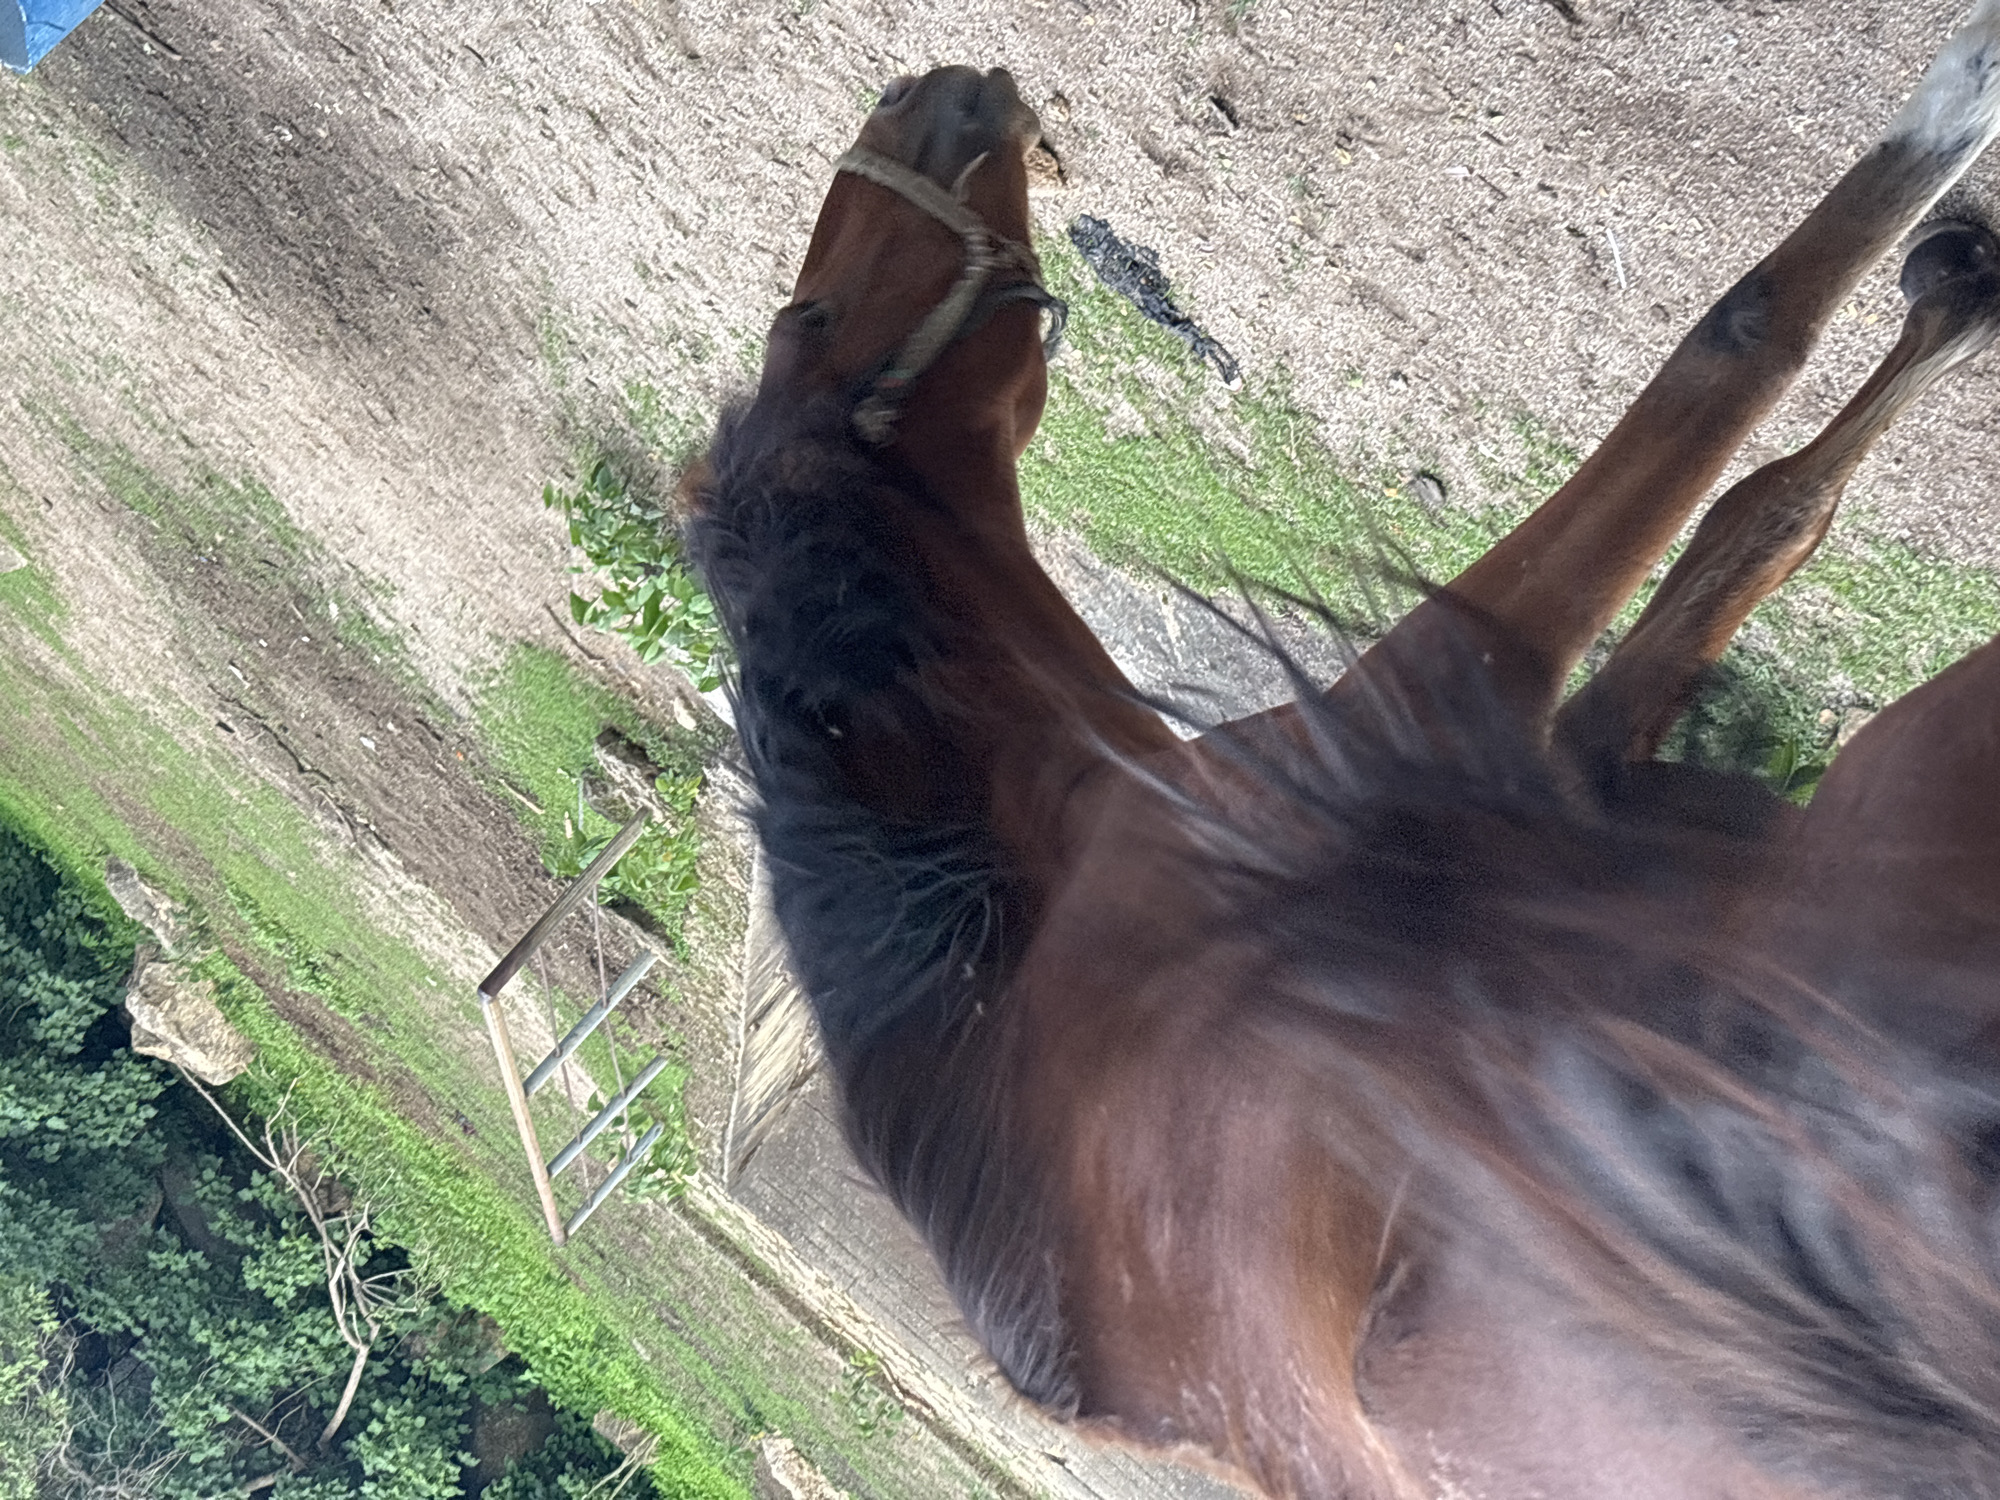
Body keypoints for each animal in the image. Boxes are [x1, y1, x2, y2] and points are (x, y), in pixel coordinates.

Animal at [685, 13, 2000, 1497]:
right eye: (807, 323)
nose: (917, 90)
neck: (1050, 892)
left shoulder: (1596, 786)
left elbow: (1757, 517)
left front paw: (1955, 284)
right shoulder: (1460, 686)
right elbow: (1737, 353)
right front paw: (1959, 106)